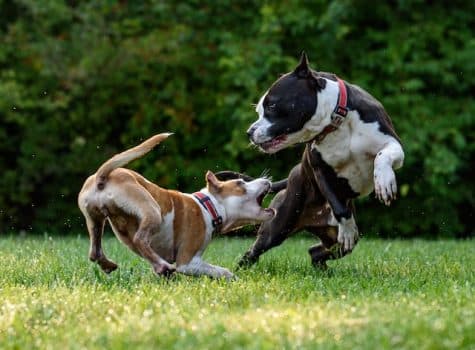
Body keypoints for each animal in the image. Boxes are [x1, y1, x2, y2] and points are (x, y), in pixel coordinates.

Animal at [78, 133, 276, 280]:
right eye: (241, 183)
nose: (267, 180)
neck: (209, 206)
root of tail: (102, 177)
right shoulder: (188, 262)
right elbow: (219, 270)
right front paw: (233, 278)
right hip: (152, 209)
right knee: (140, 239)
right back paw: (162, 266)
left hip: (95, 219)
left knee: (95, 251)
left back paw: (113, 265)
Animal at [218, 53, 404, 268]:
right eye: (259, 111)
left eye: (271, 105)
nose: (249, 132)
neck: (336, 122)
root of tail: (292, 174)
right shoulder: (320, 170)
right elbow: (339, 207)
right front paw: (347, 228)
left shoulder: (393, 143)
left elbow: (383, 156)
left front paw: (384, 181)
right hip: (278, 225)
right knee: (254, 251)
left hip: (332, 240)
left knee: (317, 251)